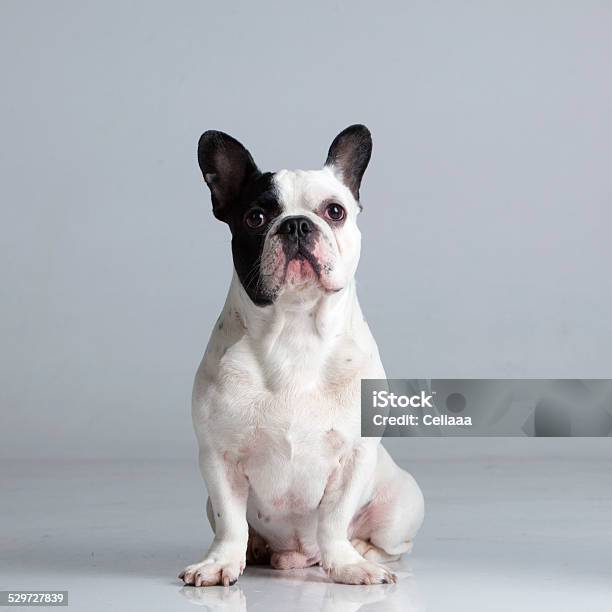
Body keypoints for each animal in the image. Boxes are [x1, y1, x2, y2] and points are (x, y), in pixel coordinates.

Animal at [179, 125, 424, 588]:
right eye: (256, 218)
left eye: (335, 211)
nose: (295, 224)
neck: (295, 331)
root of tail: (297, 556)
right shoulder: (218, 458)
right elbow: (230, 521)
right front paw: (221, 562)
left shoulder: (354, 456)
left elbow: (334, 519)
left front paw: (346, 564)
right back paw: (256, 549)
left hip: (403, 503)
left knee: (390, 543)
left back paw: (363, 552)